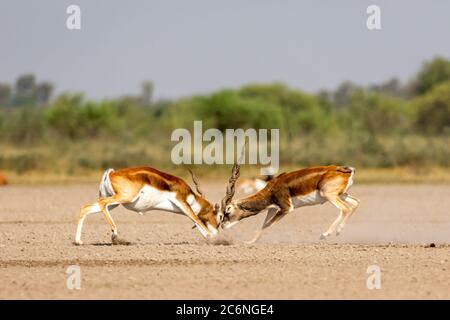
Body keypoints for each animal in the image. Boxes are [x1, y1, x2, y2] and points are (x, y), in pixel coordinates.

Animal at [74, 165, 222, 245]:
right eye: (220, 216)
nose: (217, 230)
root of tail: (111, 173)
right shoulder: (182, 202)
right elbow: (196, 219)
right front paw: (215, 239)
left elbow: (196, 222)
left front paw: (210, 238)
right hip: (124, 198)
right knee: (102, 203)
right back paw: (114, 235)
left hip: (115, 202)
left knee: (85, 208)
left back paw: (78, 241)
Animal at [220, 165, 360, 242]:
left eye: (227, 210)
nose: (222, 226)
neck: (272, 188)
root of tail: (348, 171)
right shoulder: (272, 209)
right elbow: (264, 224)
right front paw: (250, 241)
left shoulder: (286, 208)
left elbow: (267, 225)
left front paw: (248, 242)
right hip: (341, 195)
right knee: (356, 203)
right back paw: (339, 230)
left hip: (329, 195)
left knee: (345, 209)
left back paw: (325, 234)